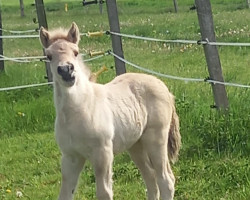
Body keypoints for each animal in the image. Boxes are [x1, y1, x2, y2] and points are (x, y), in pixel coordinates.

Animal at [40, 22, 182, 200]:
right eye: (49, 56)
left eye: (76, 52)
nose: (66, 70)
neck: (81, 109)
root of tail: (164, 88)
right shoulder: (71, 157)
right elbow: (65, 193)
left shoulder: (103, 154)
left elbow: (104, 193)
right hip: (135, 144)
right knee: (150, 177)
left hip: (156, 139)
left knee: (166, 179)